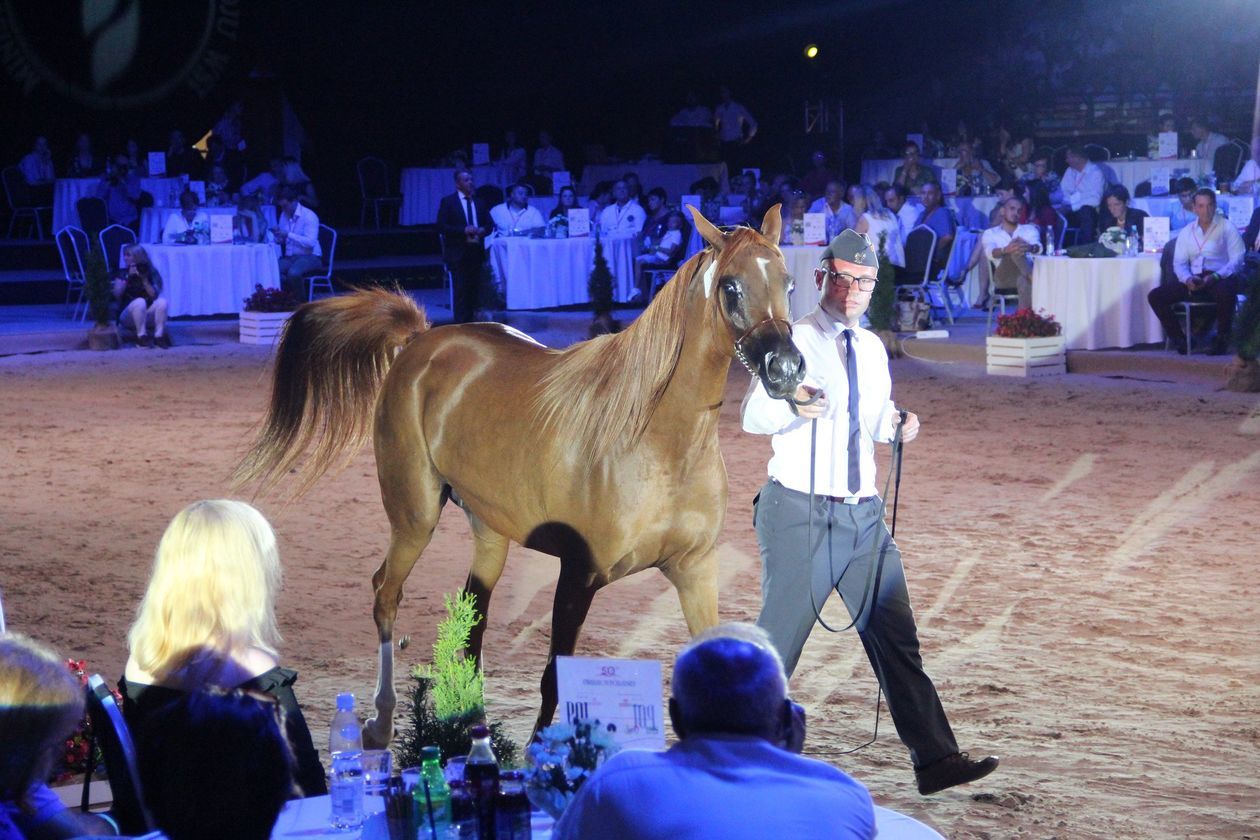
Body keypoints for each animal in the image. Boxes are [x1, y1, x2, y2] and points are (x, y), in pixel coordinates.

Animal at [236, 206, 806, 745]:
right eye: (730, 286)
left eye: (788, 282)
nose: (785, 369)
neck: (656, 441)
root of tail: (421, 342)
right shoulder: (578, 575)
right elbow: (555, 678)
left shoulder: (695, 571)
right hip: (414, 517)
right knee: (385, 594)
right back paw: (380, 721)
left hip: (488, 532)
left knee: (473, 619)